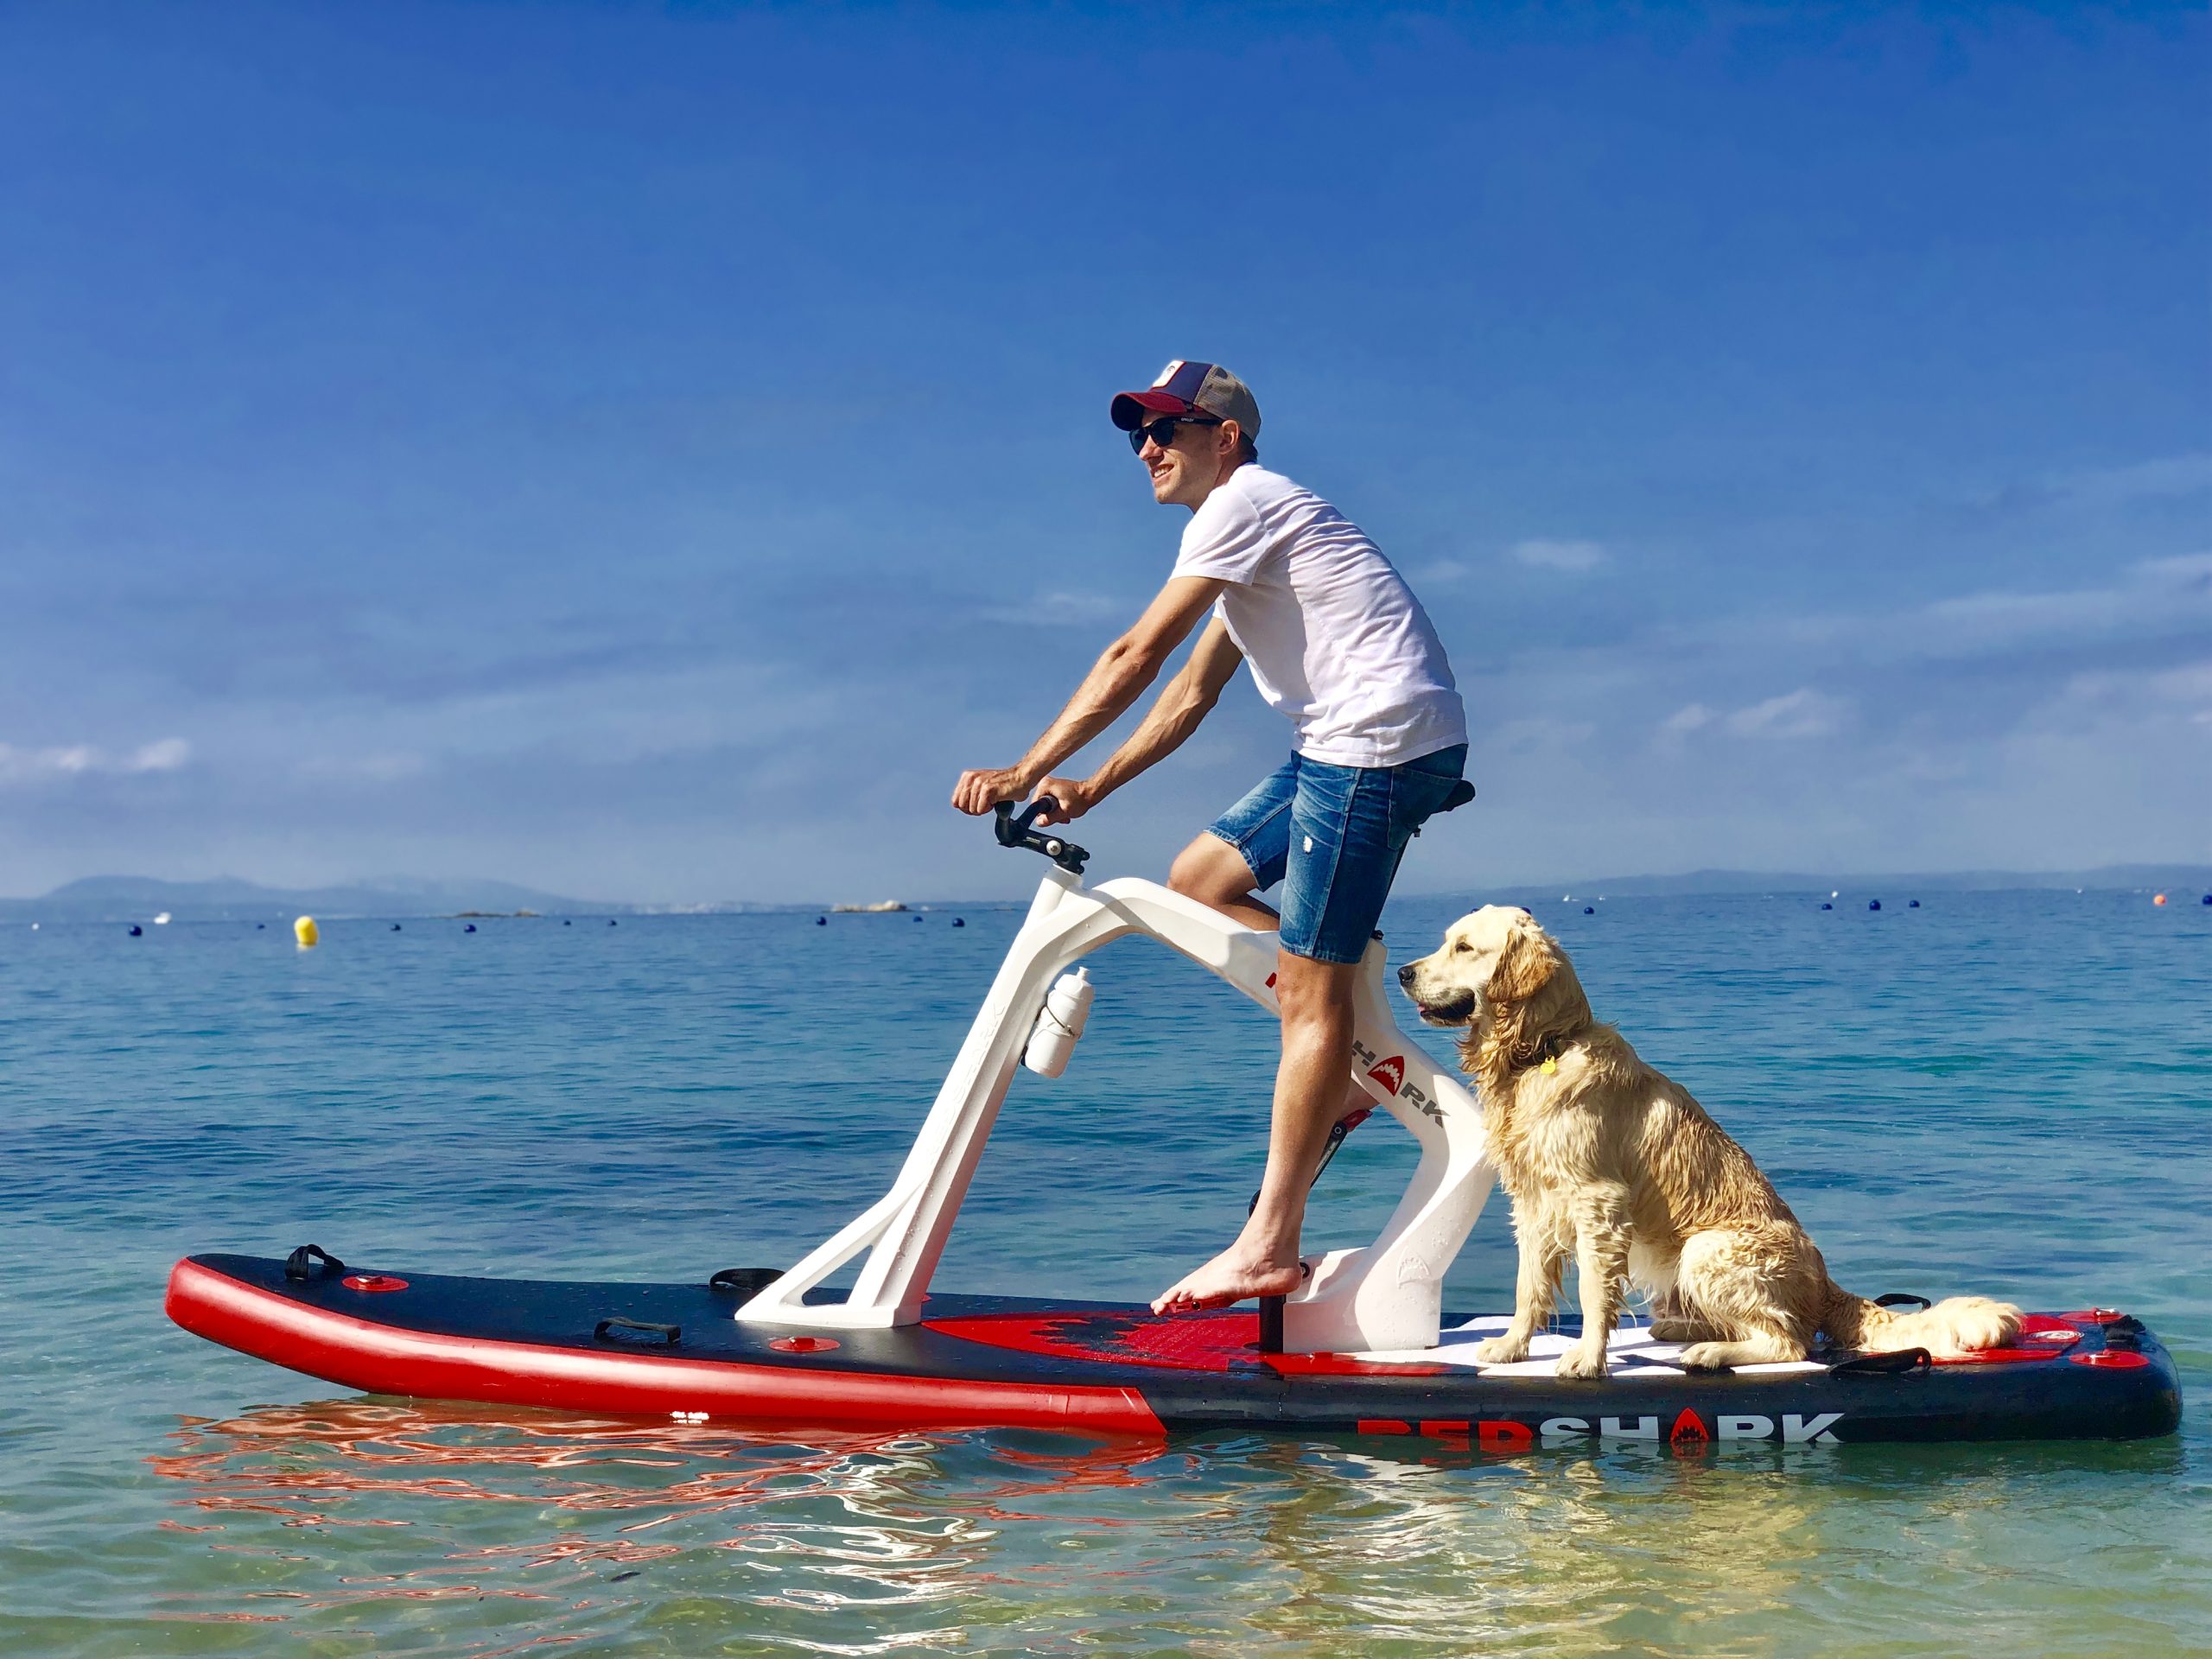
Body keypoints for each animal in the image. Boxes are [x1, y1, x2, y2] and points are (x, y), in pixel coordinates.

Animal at [1397, 911, 2025, 1380]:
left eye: (1463, 947)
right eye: (1447, 942)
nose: (1403, 971)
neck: (1543, 1048)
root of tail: (1826, 1285)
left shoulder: (1598, 1201)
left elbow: (1595, 1290)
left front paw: (1588, 1358)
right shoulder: (1532, 1202)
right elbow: (1528, 1285)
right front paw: (1511, 1345)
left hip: (1708, 1248)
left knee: (1789, 1341)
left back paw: (1710, 1351)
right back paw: (1683, 1328)